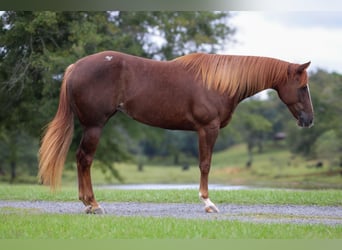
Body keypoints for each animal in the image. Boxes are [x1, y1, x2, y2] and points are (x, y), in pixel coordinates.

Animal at [38, 51, 314, 214]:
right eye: (302, 87)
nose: (309, 120)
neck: (219, 83)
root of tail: (75, 67)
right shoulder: (207, 129)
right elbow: (205, 165)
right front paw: (208, 203)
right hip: (95, 126)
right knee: (85, 159)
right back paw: (93, 204)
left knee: (80, 159)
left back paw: (87, 203)